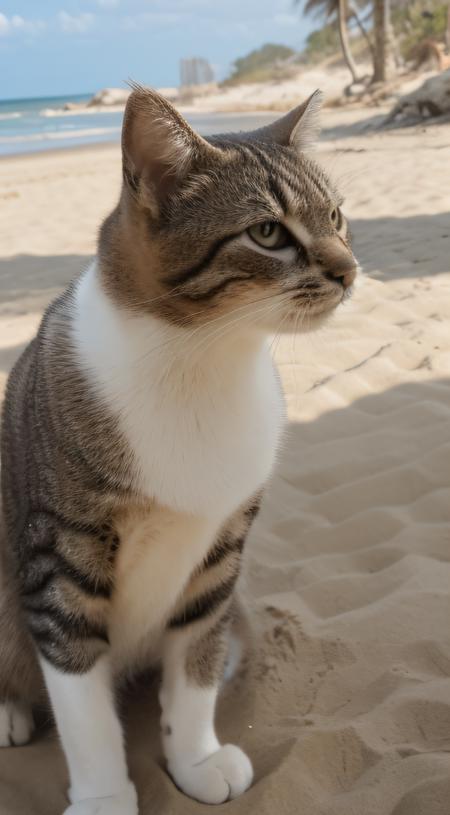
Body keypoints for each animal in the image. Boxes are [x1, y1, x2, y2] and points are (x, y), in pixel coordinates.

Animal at [0, 84, 358, 815]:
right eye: (268, 232)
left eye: (336, 216)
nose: (349, 270)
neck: (202, 360)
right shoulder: (62, 564)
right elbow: (82, 706)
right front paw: (104, 796)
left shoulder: (220, 550)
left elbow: (194, 665)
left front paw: (195, 758)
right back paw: (9, 710)